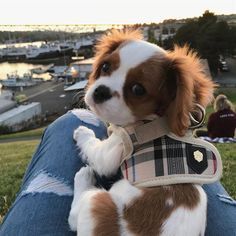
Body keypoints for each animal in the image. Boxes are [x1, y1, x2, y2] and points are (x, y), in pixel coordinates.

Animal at [68, 30, 216, 236]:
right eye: (105, 66)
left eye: (138, 89)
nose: (100, 91)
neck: (152, 122)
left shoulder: (119, 143)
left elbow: (94, 149)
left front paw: (83, 132)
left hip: (96, 204)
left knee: (74, 216)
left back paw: (83, 178)